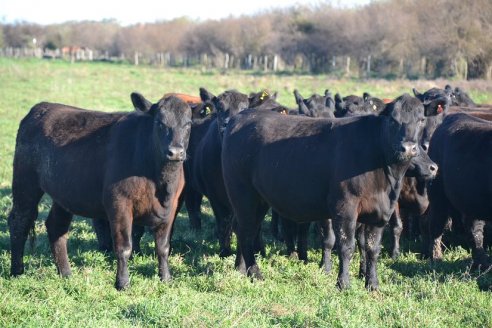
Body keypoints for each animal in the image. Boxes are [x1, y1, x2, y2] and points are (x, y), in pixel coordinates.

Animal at [9, 93, 192, 288]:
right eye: (159, 122)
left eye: (188, 123)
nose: (175, 152)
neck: (160, 183)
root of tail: (41, 107)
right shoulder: (119, 203)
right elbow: (124, 247)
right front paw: (122, 283)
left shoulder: (171, 208)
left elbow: (163, 247)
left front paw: (166, 278)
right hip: (25, 183)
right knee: (19, 221)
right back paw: (17, 271)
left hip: (64, 193)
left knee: (56, 226)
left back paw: (66, 273)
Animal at [223, 93, 442, 288]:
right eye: (392, 119)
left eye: (421, 119)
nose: (408, 148)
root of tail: (243, 116)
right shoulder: (344, 207)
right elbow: (345, 245)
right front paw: (343, 283)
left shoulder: (381, 212)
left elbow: (372, 248)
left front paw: (372, 284)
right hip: (243, 194)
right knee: (246, 231)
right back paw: (255, 273)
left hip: (258, 200)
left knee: (245, 230)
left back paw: (241, 269)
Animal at [424, 113, 492, 270]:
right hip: (437, 195)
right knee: (436, 224)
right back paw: (436, 258)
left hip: (471, 200)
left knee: (474, 230)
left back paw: (481, 263)